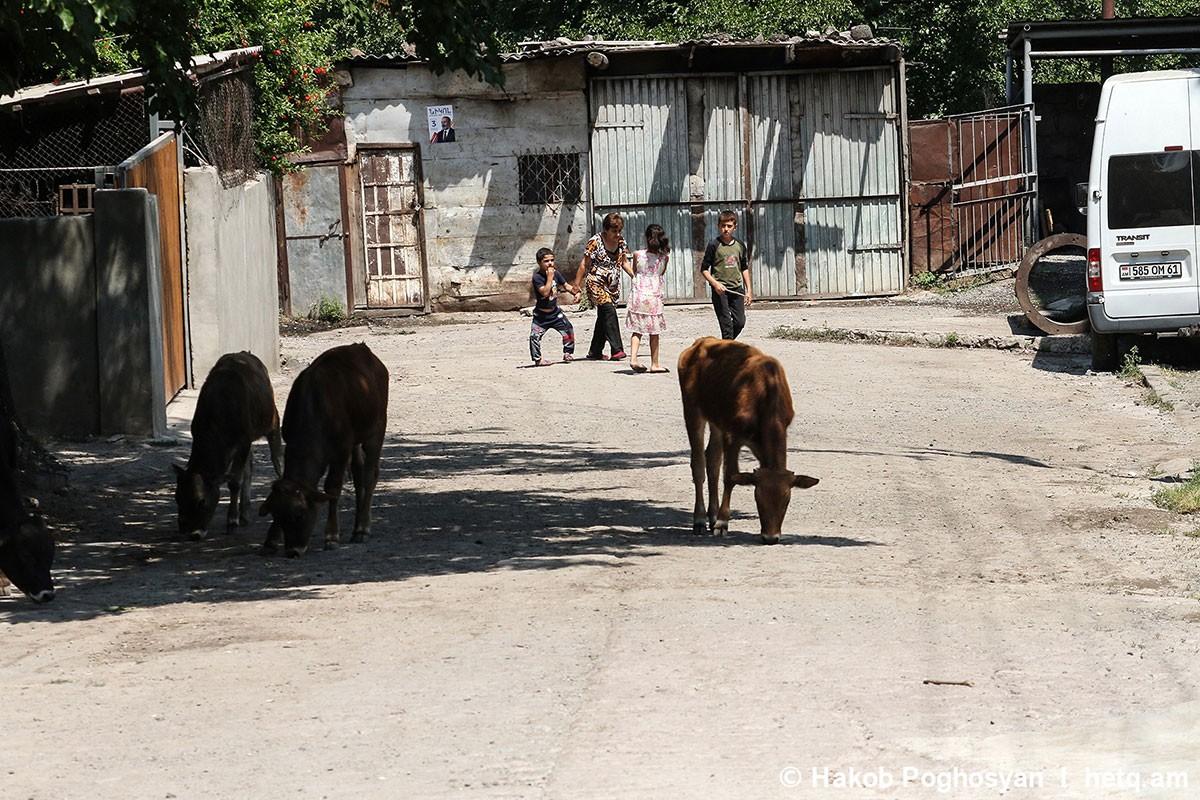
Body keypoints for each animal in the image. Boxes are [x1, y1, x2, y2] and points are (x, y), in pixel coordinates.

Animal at [172, 347, 282, 537]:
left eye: (201, 501)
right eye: (177, 497)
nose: (191, 532)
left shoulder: (244, 439)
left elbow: (234, 481)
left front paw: (232, 521)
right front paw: (238, 517)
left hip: (272, 419)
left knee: (276, 459)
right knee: (250, 467)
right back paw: (245, 513)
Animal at [259, 343, 386, 556]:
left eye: (299, 514)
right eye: (276, 515)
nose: (293, 551)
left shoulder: (341, 450)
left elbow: (332, 488)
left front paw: (332, 536)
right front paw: (271, 539)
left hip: (375, 431)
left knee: (370, 475)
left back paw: (362, 528)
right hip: (356, 441)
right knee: (359, 474)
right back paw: (356, 528)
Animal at [681, 338, 820, 544]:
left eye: (786, 500)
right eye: (758, 497)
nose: (771, 537)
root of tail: (700, 342)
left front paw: (718, 520)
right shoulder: (733, 435)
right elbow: (730, 476)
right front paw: (722, 523)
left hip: (716, 420)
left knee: (712, 460)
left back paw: (711, 516)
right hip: (692, 409)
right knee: (698, 463)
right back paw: (699, 520)